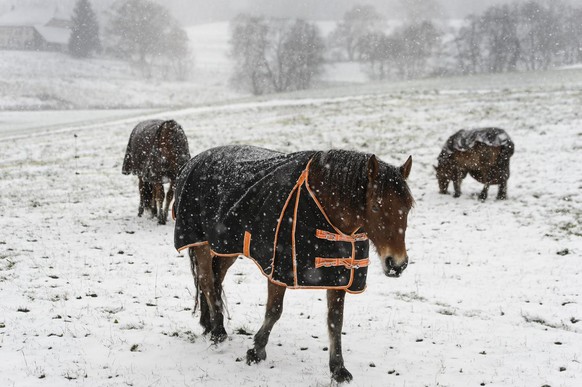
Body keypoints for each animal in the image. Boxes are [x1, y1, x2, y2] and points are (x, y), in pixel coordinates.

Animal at [173, 146, 416, 384]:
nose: (398, 264)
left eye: (408, 208)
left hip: (225, 246)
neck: (323, 203)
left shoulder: (339, 275)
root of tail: (194, 160)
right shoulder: (279, 269)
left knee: (216, 280)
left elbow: (335, 321)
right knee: (206, 281)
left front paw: (338, 370)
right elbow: (274, 311)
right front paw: (256, 351)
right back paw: (218, 333)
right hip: (203, 244)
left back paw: (210, 325)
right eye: (375, 207)